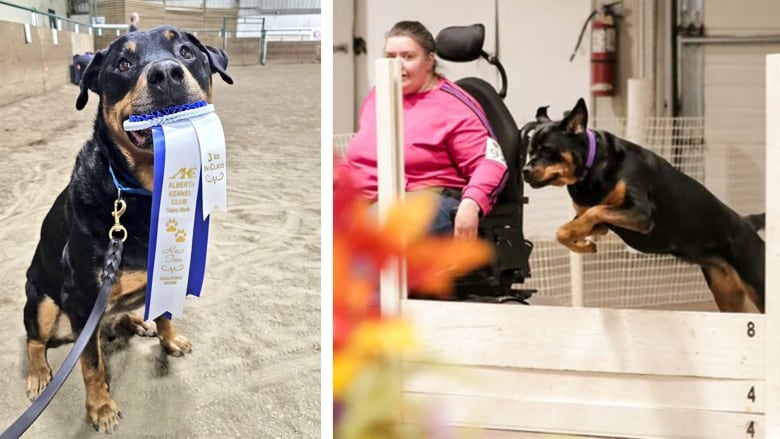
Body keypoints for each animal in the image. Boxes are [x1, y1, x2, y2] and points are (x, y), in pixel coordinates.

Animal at [22, 24, 232, 434]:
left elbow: (165, 313)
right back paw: (38, 374)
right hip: (40, 299)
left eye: (186, 52)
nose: (166, 73)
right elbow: (91, 365)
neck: (144, 193)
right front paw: (101, 407)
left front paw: (169, 338)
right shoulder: (83, 296)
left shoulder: (167, 272)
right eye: (123, 64)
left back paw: (136, 321)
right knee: (35, 341)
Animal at [520, 98, 764, 314]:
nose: (524, 170)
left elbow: (596, 210)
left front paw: (583, 242)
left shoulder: (640, 214)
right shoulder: (601, 223)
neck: (594, 166)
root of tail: (747, 223)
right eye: (529, 150)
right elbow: (565, 229)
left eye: (546, 150)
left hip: (757, 283)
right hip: (726, 292)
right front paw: (583, 245)